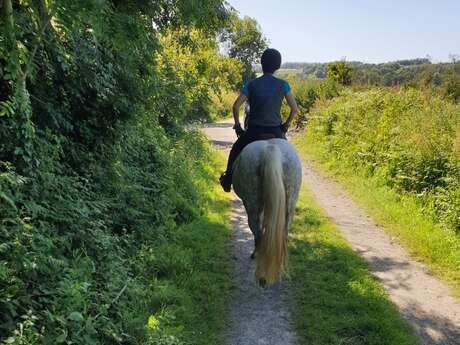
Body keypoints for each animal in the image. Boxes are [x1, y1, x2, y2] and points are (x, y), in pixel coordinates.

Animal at [234, 137, 302, 284]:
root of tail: (270, 148)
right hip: (290, 204)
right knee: (284, 234)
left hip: (252, 203)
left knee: (257, 232)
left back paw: (257, 258)